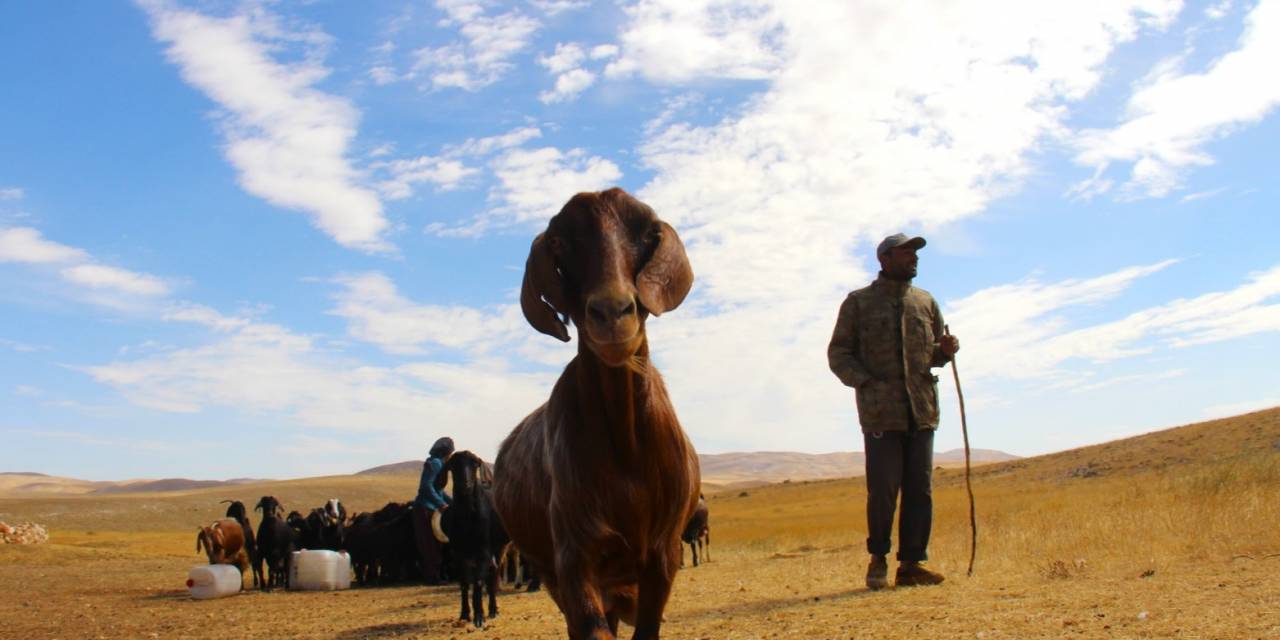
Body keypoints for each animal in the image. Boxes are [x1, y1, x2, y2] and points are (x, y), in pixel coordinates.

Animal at [440, 453, 499, 627]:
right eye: (453, 465)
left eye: (474, 464)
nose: (464, 485)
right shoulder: (458, 553)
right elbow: (465, 582)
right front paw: (465, 613)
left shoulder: (484, 551)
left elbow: (478, 581)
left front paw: (479, 616)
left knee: (492, 575)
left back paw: (492, 610)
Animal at [496, 186, 701, 637]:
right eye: (559, 241)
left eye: (649, 231)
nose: (611, 312)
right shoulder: (574, 556)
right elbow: (590, 626)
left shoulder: (663, 554)